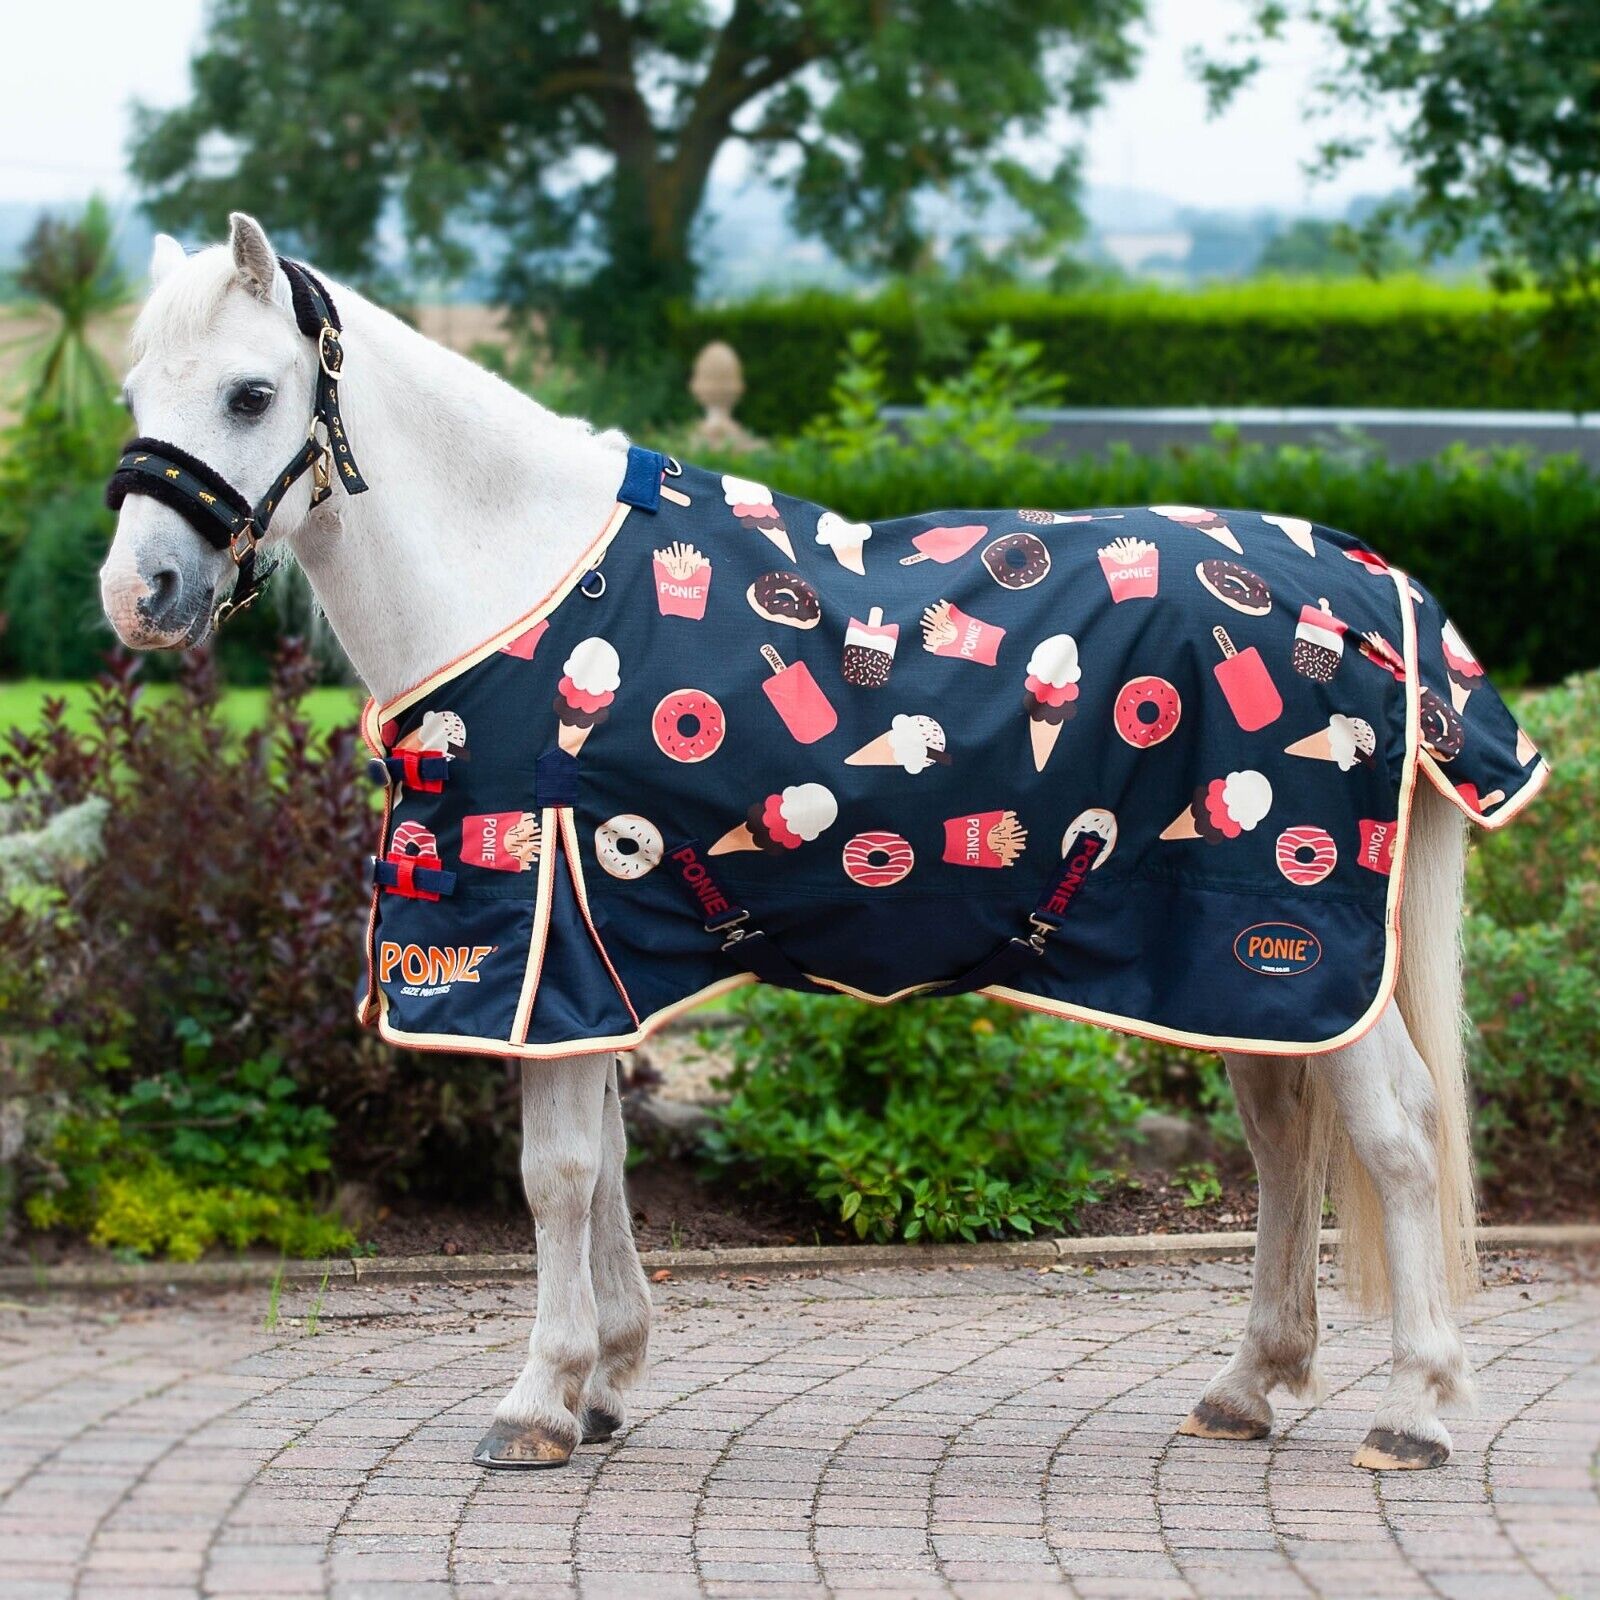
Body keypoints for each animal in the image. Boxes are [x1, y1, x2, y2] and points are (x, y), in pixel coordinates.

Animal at [102, 213, 1485, 1474]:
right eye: (132, 390)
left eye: (251, 391)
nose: (137, 594)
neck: (520, 584)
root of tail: (1374, 591)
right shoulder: (600, 958)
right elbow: (607, 1164)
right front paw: (606, 1381)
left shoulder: (543, 947)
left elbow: (555, 1172)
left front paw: (538, 1399)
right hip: (1243, 970)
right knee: (1283, 1134)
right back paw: (1248, 1385)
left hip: (1298, 942)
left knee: (1398, 1133)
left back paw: (1413, 1409)